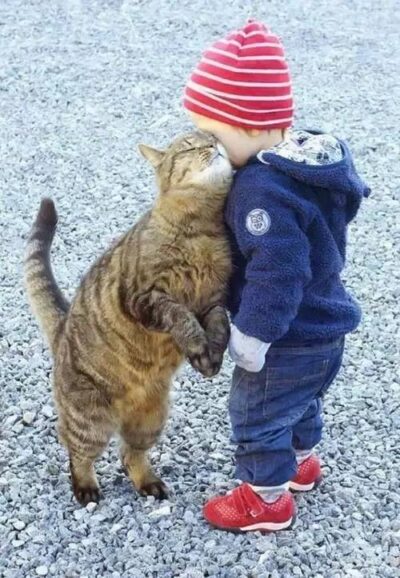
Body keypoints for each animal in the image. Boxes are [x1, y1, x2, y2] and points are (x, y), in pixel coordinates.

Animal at [23, 130, 233, 504]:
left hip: (151, 420)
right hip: (91, 419)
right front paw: (197, 344)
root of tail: (63, 329)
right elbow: (180, 315)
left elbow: (220, 325)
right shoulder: (144, 297)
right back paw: (85, 486)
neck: (201, 228)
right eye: (191, 146)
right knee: (76, 452)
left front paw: (211, 356)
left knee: (129, 454)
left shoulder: (213, 301)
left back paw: (148, 482)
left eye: (213, 137)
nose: (215, 145)